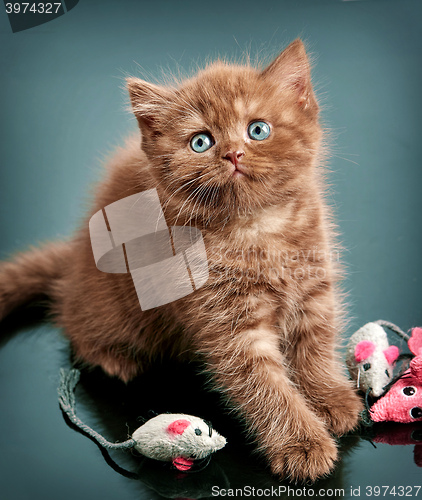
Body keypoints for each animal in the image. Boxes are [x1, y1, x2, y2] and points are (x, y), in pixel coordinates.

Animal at [0, 41, 362, 482]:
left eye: (258, 129)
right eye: (201, 142)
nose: (233, 153)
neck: (256, 229)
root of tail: (73, 256)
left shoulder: (313, 287)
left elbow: (315, 345)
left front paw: (330, 399)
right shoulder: (228, 323)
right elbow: (265, 386)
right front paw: (302, 443)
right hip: (107, 307)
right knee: (75, 324)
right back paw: (115, 358)